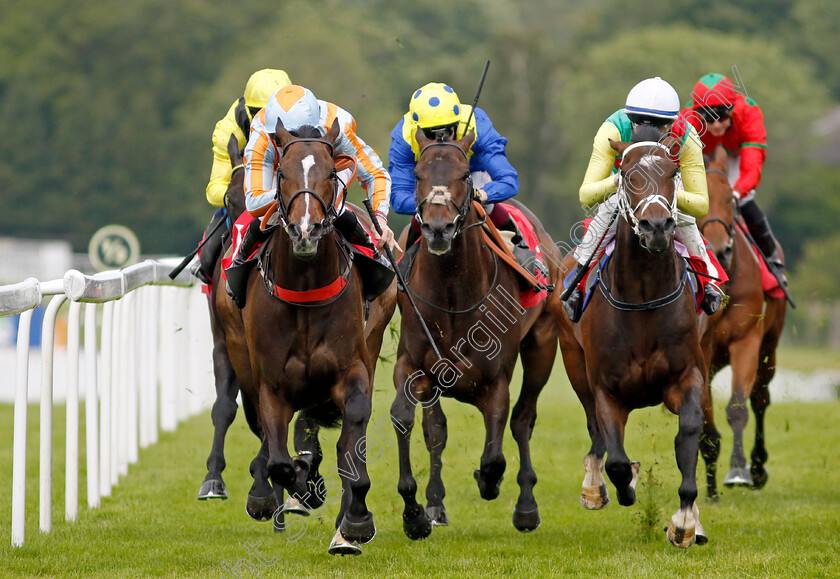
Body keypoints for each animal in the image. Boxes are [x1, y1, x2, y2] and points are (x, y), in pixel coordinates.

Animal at [215, 121, 396, 556]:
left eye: (332, 174)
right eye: (282, 174)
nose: (305, 231)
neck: (307, 289)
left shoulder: (352, 372)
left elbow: (351, 447)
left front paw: (356, 522)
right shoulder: (271, 384)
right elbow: (279, 460)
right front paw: (297, 488)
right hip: (239, 353)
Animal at [392, 125, 564, 540]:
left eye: (464, 175)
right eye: (418, 175)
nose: (438, 229)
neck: (453, 291)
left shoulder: (495, 378)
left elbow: (494, 453)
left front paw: (490, 482)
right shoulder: (413, 364)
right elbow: (411, 421)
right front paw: (416, 512)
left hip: (543, 343)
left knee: (523, 419)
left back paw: (526, 508)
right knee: (435, 429)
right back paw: (436, 503)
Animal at [556, 127, 716, 548]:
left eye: (672, 174)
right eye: (628, 175)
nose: (656, 226)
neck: (643, 298)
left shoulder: (688, 375)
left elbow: (688, 434)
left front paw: (684, 522)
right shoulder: (606, 388)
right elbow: (614, 457)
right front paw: (624, 483)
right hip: (573, 363)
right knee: (594, 430)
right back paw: (595, 488)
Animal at [696, 148, 788, 490]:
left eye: (730, 201)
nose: (720, 250)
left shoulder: (747, 339)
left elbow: (738, 406)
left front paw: (738, 469)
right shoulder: (701, 350)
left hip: (770, 346)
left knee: (760, 398)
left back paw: (758, 465)